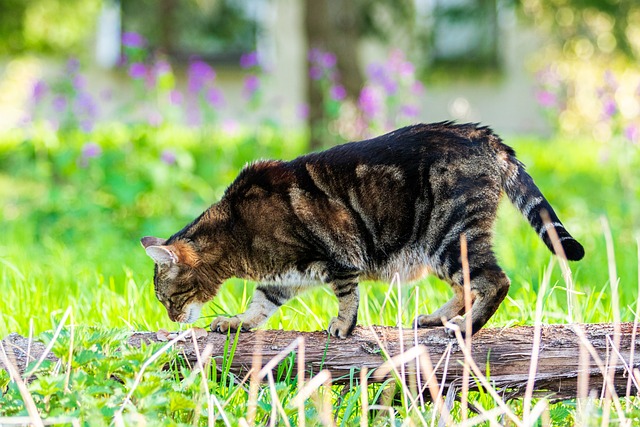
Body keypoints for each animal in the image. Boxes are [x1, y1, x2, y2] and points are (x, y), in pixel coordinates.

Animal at [141, 122, 584, 340]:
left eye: (168, 297)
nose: (172, 318)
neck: (236, 229)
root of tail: (481, 134)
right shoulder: (284, 277)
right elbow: (260, 303)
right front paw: (237, 323)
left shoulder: (338, 254)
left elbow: (346, 296)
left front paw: (342, 327)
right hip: (439, 245)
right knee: (467, 284)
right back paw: (436, 318)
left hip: (447, 233)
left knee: (494, 280)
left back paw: (465, 327)